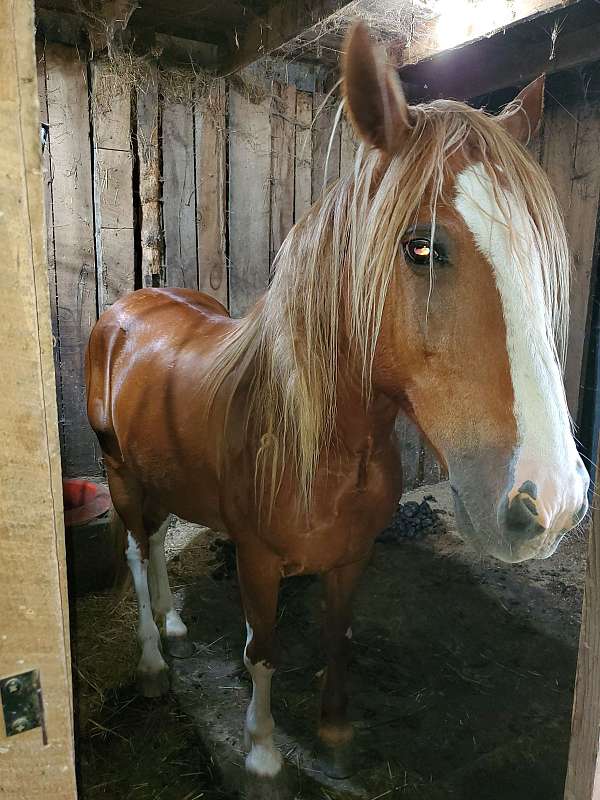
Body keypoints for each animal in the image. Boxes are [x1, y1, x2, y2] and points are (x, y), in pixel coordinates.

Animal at [85, 22, 589, 781]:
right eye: (421, 247)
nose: (553, 499)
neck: (325, 447)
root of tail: (130, 307)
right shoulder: (257, 561)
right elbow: (262, 651)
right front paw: (264, 752)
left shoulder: (352, 560)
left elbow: (337, 635)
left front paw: (334, 732)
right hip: (120, 476)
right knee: (142, 559)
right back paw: (150, 660)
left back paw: (174, 623)